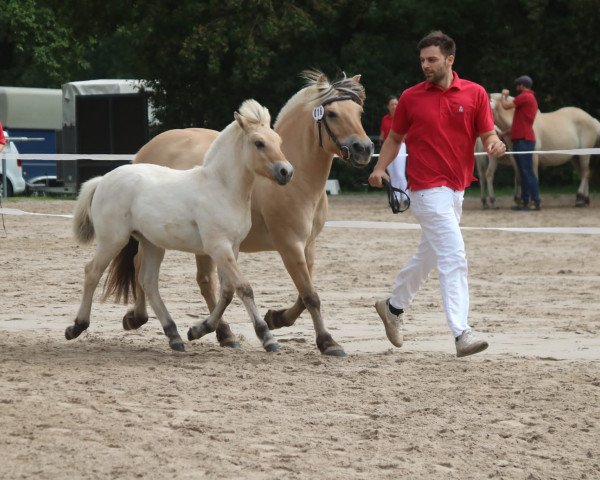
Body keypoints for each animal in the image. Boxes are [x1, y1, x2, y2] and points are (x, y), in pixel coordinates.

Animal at [67, 99, 292, 352]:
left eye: (278, 141)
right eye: (259, 143)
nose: (286, 172)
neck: (222, 188)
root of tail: (103, 180)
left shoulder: (232, 248)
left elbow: (227, 291)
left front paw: (198, 330)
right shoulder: (218, 247)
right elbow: (243, 287)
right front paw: (267, 337)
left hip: (152, 244)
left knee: (148, 281)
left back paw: (174, 335)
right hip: (112, 240)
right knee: (92, 272)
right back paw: (76, 327)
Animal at [105, 70, 372, 356]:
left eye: (359, 112)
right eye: (332, 114)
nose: (364, 149)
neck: (296, 180)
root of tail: (144, 151)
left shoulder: (307, 246)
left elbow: (303, 293)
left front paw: (276, 318)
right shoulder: (289, 246)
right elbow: (310, 295)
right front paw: (327, 341)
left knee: (197, 280)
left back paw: (218, 332)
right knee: (147, 268)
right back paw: (143, 319)